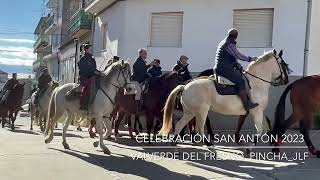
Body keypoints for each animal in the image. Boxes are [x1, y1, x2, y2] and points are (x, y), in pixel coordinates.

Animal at [159, 49, 290, 145]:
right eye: (283, 64)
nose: (286, 80)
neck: (256, 84)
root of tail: (185, 86)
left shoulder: (258, 111)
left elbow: (265, 124)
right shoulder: (256, 111)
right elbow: (260, 129)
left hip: (190, 111)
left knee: (180, 125)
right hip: (201, 111)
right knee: (198, 129)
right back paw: (209, 145)